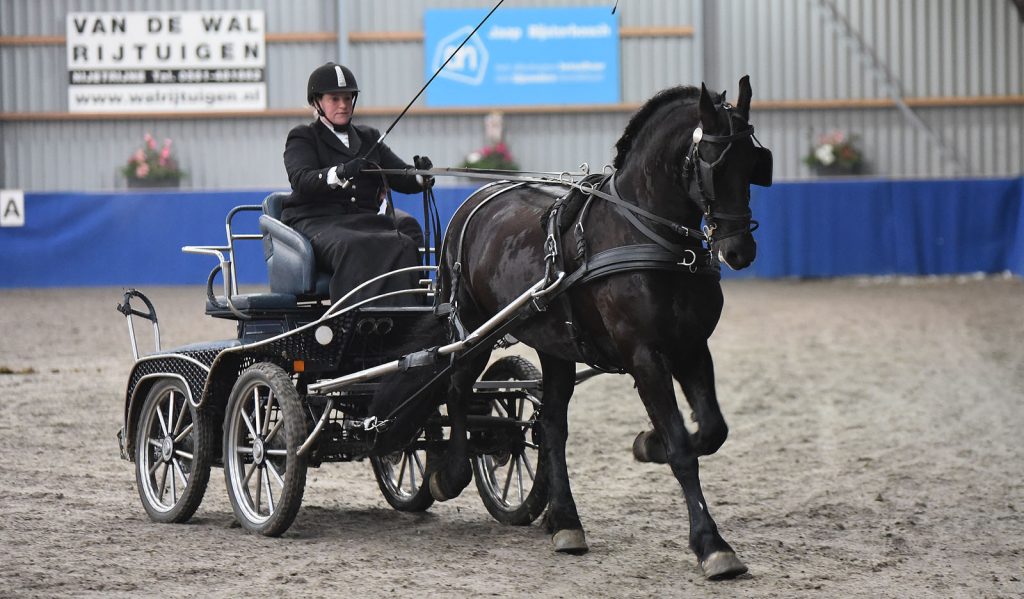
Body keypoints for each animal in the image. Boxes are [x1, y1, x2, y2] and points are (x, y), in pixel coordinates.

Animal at [372, 77, 765, 577]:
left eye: (754, 163)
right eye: (713, 164)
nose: (739, 251)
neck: (648, 235)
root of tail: (475, 201)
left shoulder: (692, 347)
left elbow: (711, 431)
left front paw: (646, 444)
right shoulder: (644, 354)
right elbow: (681, 447)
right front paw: (711, 545)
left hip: (555, 346)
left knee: (549, 426)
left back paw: (564, 521)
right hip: (472, 329)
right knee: (458, 391)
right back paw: (452, 474)